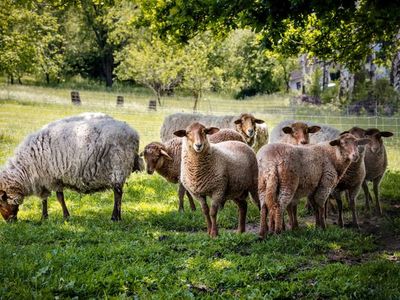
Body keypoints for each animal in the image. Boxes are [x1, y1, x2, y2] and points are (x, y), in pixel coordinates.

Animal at [0, 112, 143, 220]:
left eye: (1, 203)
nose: (9, 221)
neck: (25, 168)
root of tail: (134, 134)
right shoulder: (45, 180)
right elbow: (44, 199)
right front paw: (44, 217)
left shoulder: (52, 178)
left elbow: (59, 198)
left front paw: (65, 216)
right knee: (118, 193)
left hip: (118, 167)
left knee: (118, 193)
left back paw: (115, 217)